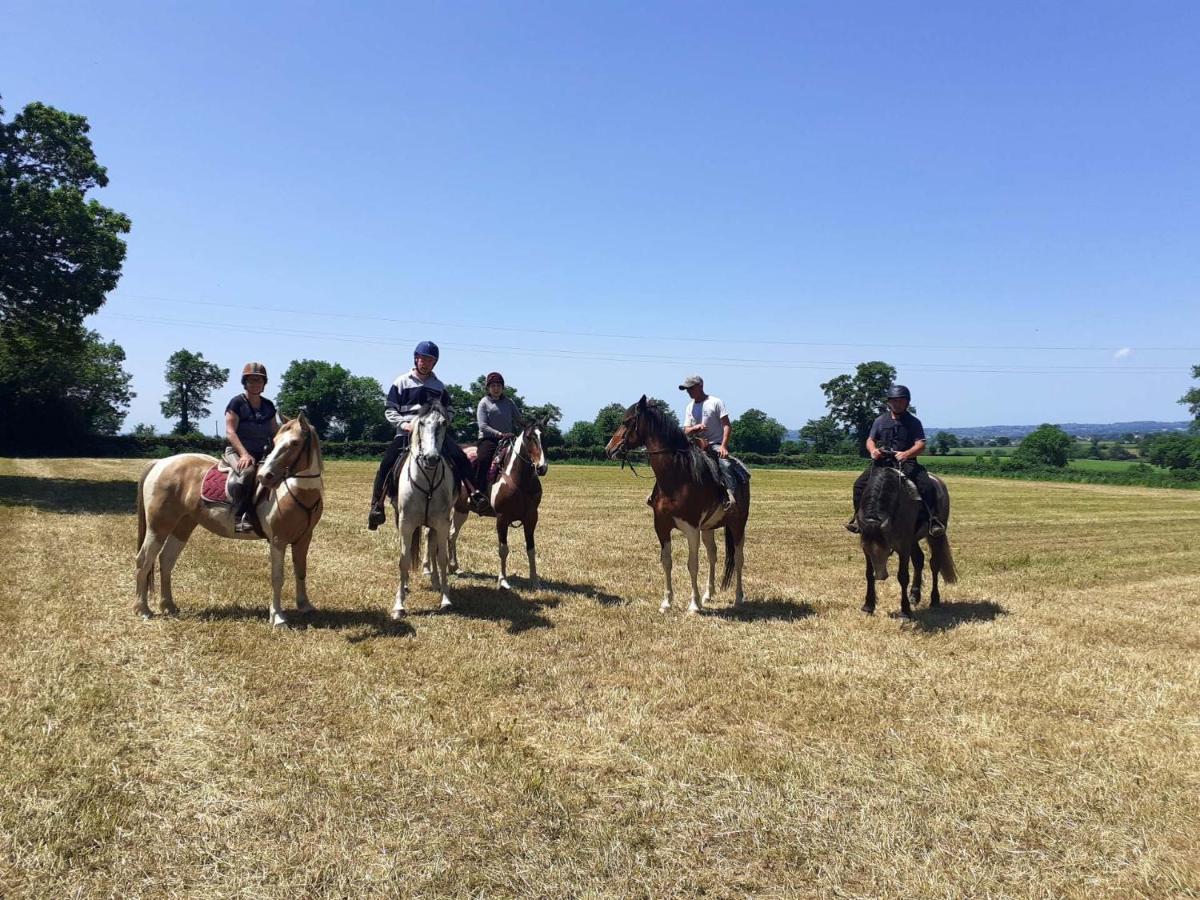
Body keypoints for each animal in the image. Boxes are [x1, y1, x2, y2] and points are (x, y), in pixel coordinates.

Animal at [133, 415, 324, 628]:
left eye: (295, 443)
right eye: (274, 443)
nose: (264, 476)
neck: (296, 492)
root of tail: (160, 463)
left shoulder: (304, 539)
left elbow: (301, 571)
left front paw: (305, 605)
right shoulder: (277, 540)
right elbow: (277, 577)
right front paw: (278, 617)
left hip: (182, 526)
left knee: (166, 560)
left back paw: (169, 606)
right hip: (158, 527)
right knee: (144, 560)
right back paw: (142, 609)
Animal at [391, 405, 456, 619]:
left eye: (443, 423)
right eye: (420, 423)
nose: (431, 458)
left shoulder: (442, 524)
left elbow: (442, 559)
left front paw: (446, 599)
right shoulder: (406, 524)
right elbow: (403, 560)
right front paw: (399, 605)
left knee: (432, 548)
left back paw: (435, 582)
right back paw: (405, 586)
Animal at [446, 422, 549, 592]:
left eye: (544, 436)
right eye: (529, 437)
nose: (542, 467)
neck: (518, 479)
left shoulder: (531, 518)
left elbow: (531, 550)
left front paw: (535, 582)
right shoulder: (502, 519)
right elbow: (503, 550)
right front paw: (503, 581)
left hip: (461, 510)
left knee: (452, 534)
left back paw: (454, 567)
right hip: (456, 509)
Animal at [604, 398, 744, 619]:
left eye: (627, 422)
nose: (609, 449)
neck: (677, 477)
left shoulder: (692, 529)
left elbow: (692, 565)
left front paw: (693, 605)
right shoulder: (661, 526)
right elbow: (666, 561)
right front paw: (667, 603)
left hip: (738, 525)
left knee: (738, 559)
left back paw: (738, 598)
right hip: (708, 528)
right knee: (713, 555)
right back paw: (708, 595)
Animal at [854, 451, 955, 619]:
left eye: (887, 550)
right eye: (867, 550)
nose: (881, 576)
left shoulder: (903, 546)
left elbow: (902, 576)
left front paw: (905, 611)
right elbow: (868, 573)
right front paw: (868, 605)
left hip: (934, 535)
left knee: (934, 563)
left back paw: (934, 599)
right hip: (913, 540)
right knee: (919, 560)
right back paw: (915, 595)